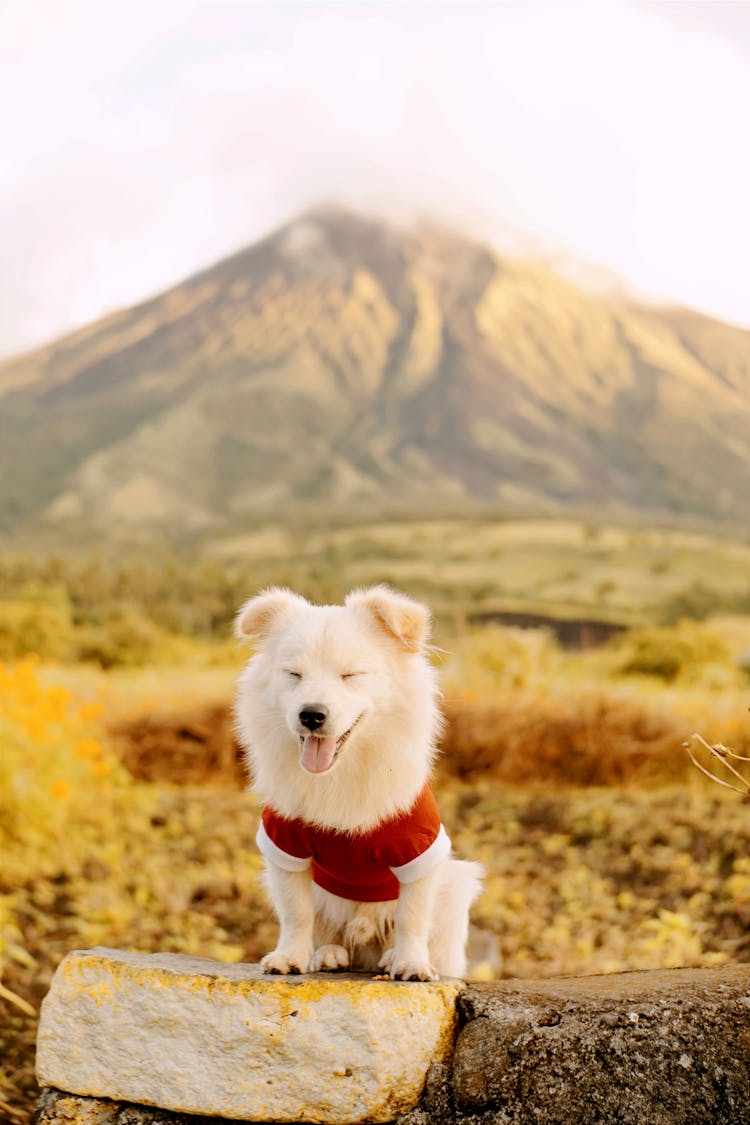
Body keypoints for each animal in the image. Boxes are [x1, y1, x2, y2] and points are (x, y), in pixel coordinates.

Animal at [232, 585, 488, 981]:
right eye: (294, 675)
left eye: (350, 675)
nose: (311, 715)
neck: (339, 772)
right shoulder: (285, 846)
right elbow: (296, 913)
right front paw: (289, 957)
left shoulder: (418, 850)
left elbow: (412, 917)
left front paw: (412, 963)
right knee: (328, 930)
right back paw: (328, 955)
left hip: (456, 884)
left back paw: (390, 957)